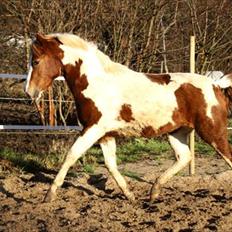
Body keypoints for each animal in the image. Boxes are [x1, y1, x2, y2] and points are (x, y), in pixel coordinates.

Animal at [24, 33, 232, 202]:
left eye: (36, 61)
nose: (29, 91)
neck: (97, 83)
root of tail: (216, 86)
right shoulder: (106, 135)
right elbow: (110, 165)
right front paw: (130, 196)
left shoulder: (93, 128)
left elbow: (71, 155)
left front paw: (49, 195)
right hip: (177, 132)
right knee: (184, 157)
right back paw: (154, 192)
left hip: (212, 132)